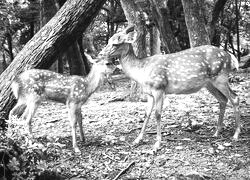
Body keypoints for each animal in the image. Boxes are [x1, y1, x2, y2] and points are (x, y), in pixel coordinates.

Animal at [99, 26, 240, 151]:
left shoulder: (159, 87)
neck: (141, 72)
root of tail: (230, 57)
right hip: (209, 83)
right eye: (109, 40)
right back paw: (216, 132)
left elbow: (157, 114)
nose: (100, 54)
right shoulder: (149, 93)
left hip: (220, 77)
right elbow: (146, 114)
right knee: (223, 99)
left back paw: (236, 134)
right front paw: (137, 139)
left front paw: (157, 143)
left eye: (116, 43)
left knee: (235, 98)